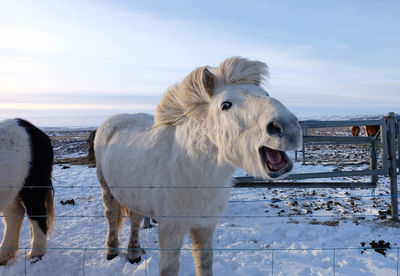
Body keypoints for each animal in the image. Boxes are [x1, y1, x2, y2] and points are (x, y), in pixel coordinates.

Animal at [0, 118, 54, 266]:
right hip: (11, 189)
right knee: (14, 215)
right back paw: (4, 255)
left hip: (32, 186)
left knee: (37, 214)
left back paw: (36, 254)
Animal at [94, 56, 300, 276]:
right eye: (225, 105)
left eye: (266, 95)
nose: (287, 126)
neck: (191, 169)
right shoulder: (170, 228)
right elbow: (169, 269)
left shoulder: (205, 225)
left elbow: (204, 262)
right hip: (107, 188)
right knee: (111, 216)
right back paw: (111, 252)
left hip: (133, 195)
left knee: (135, 219)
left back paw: (133, 254)